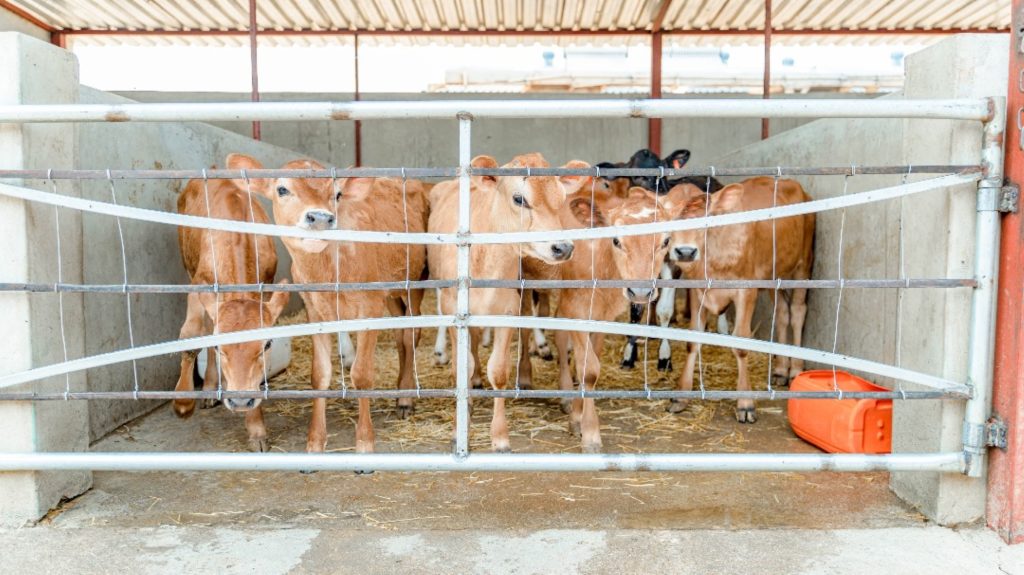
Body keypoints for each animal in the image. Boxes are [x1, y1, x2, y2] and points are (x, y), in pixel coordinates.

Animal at [173, 158, 290, 453]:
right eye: (219, 345)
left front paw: (256, 429)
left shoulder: (266, 284)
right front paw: (183, 402)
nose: (238, 401)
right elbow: (191, 335)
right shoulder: (199, 282)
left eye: (267, 344)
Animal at [225, 154, 428, 455]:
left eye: (337, 194)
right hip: (390, 293)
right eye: (282, 189)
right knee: (402, 336)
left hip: (414, 280)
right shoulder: (315, 309)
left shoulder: (370, 306)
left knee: (411, 333)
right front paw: (315, 442)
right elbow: (319, 375)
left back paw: (405, 397)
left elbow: (362, 375)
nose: (320, 217)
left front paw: (365, 442)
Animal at [428, 153, 589, 452]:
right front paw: (459, 430)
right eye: (519, 199)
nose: (563, 247)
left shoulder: (508, 310)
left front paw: (500, 437)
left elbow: (500, 372)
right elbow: (461, 367)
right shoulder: (454, 309)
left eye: (561, 198)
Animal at [668, 176, 815, 423]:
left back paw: (795, 369)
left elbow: (741, 343)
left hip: (803, 263)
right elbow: (693, 340)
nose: (685, 252)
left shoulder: (745, 291)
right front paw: (680, 396)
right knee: (782, 312)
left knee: (797, 310)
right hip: (773, 275)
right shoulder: (698, 290)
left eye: (707, 217)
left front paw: (745, 404)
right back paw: (780, 369)